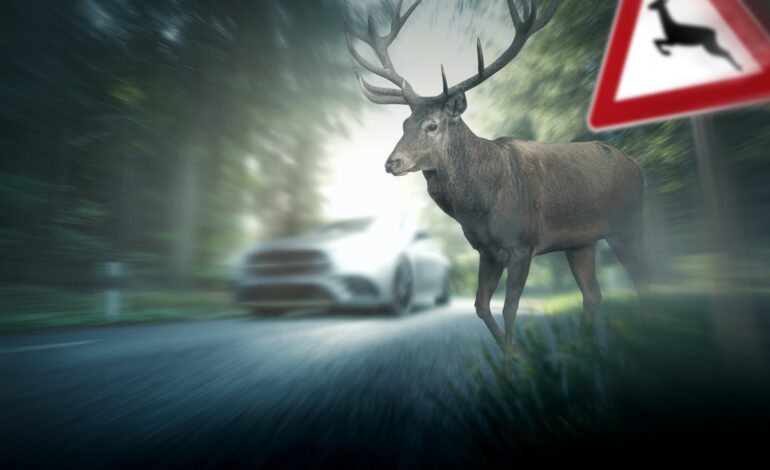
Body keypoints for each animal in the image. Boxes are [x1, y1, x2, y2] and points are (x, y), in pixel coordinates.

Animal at [342, 0, 647, 356]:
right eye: (404, 124)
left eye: (432, 125)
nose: (392, 162)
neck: (480, 206)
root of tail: (637, 165)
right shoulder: (486, 251)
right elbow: (481, 306)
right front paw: (512, 355)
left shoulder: (522, 245)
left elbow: (508, 308)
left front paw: (516, 360)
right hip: (581, 243)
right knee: (594, 294)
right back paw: (582, 350)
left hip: (629, 225)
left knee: (644, 279)